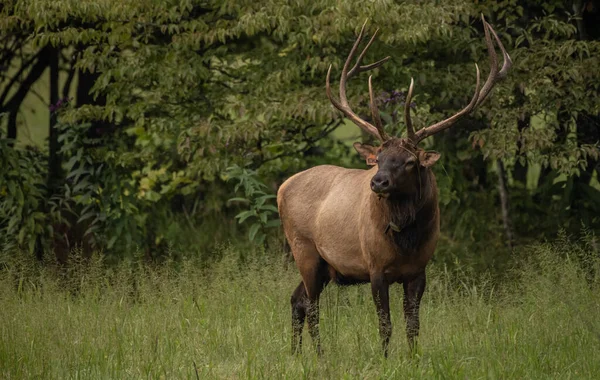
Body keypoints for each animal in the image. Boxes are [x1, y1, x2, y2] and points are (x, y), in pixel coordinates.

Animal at [276, 17, 510, 356]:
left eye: (410, 161)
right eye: (378, 159)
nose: (378, 181)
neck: (405, 243)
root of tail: (282, 187)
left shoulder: (419, 270)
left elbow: (413, 325)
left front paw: (413, 359)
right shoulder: (374, 267)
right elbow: (385, 325)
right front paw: (386, 359)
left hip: (325, 266)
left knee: (297, 300)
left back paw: (296, 354)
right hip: (303, 248)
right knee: (311, 306)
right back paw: (318, 356)